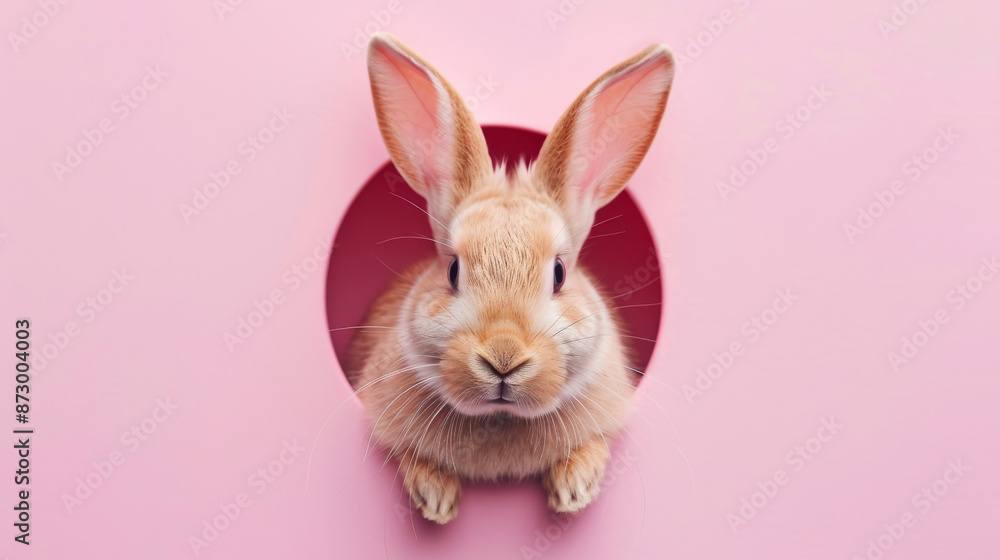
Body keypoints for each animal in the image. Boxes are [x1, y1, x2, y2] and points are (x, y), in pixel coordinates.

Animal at [349, 32, 674, 524]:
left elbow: (593, 445)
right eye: (452, 270)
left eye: (559, 273)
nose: (504, 357)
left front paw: (574, 491)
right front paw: (435, 500)